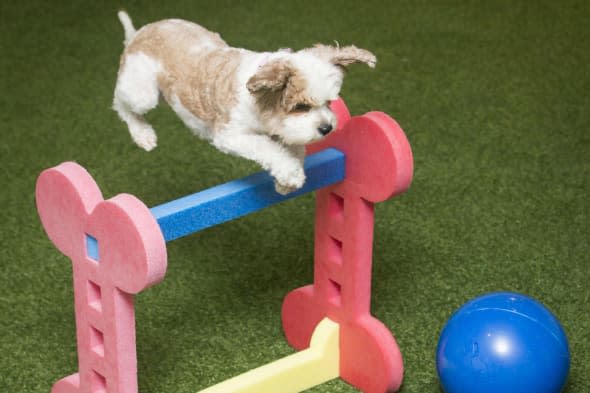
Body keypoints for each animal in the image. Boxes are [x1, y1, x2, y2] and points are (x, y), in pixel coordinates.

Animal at [113, 12, 376, 194]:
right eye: (300, 106)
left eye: (329, 102)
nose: (327, 128)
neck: (259, 100)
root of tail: (139, 33)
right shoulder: (230, 135)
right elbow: (268, 149)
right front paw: (290, 174)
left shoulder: (287, 130)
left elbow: (295, 149)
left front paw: (285, 183)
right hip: (142, 93)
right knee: (119, 101)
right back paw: (142, 135)